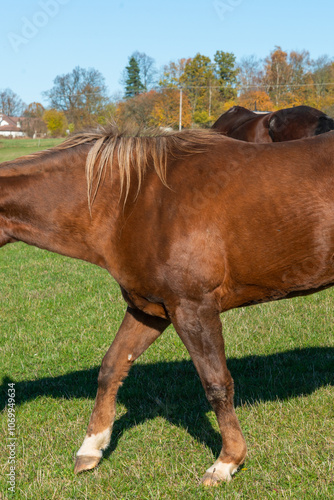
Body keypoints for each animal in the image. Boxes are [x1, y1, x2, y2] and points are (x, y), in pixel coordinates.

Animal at [0, 128, 334, 484]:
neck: (130, 203)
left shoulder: (193, 309)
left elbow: (216, 383)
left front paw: (227, 461)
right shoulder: (150, 311)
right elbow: (111, 368)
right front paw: (91, 448)